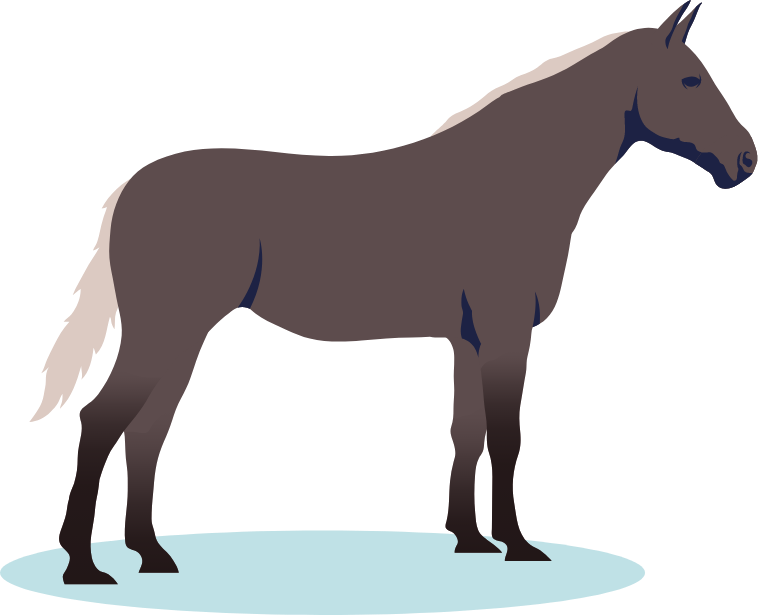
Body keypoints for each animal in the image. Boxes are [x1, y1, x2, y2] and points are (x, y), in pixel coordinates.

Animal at [31, 2, 753, 584]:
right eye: (690, 80)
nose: (746, 160)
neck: (517, 175)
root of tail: (130, 189)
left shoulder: (469, 337)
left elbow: (468, 432)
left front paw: (471, 540)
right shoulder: (505, 333)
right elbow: (507, 433)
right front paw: (519, 547)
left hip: (179, 341)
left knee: (145, 431)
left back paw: (151, 556)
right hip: (167, 335)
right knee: (103, 422)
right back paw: (84, 567)